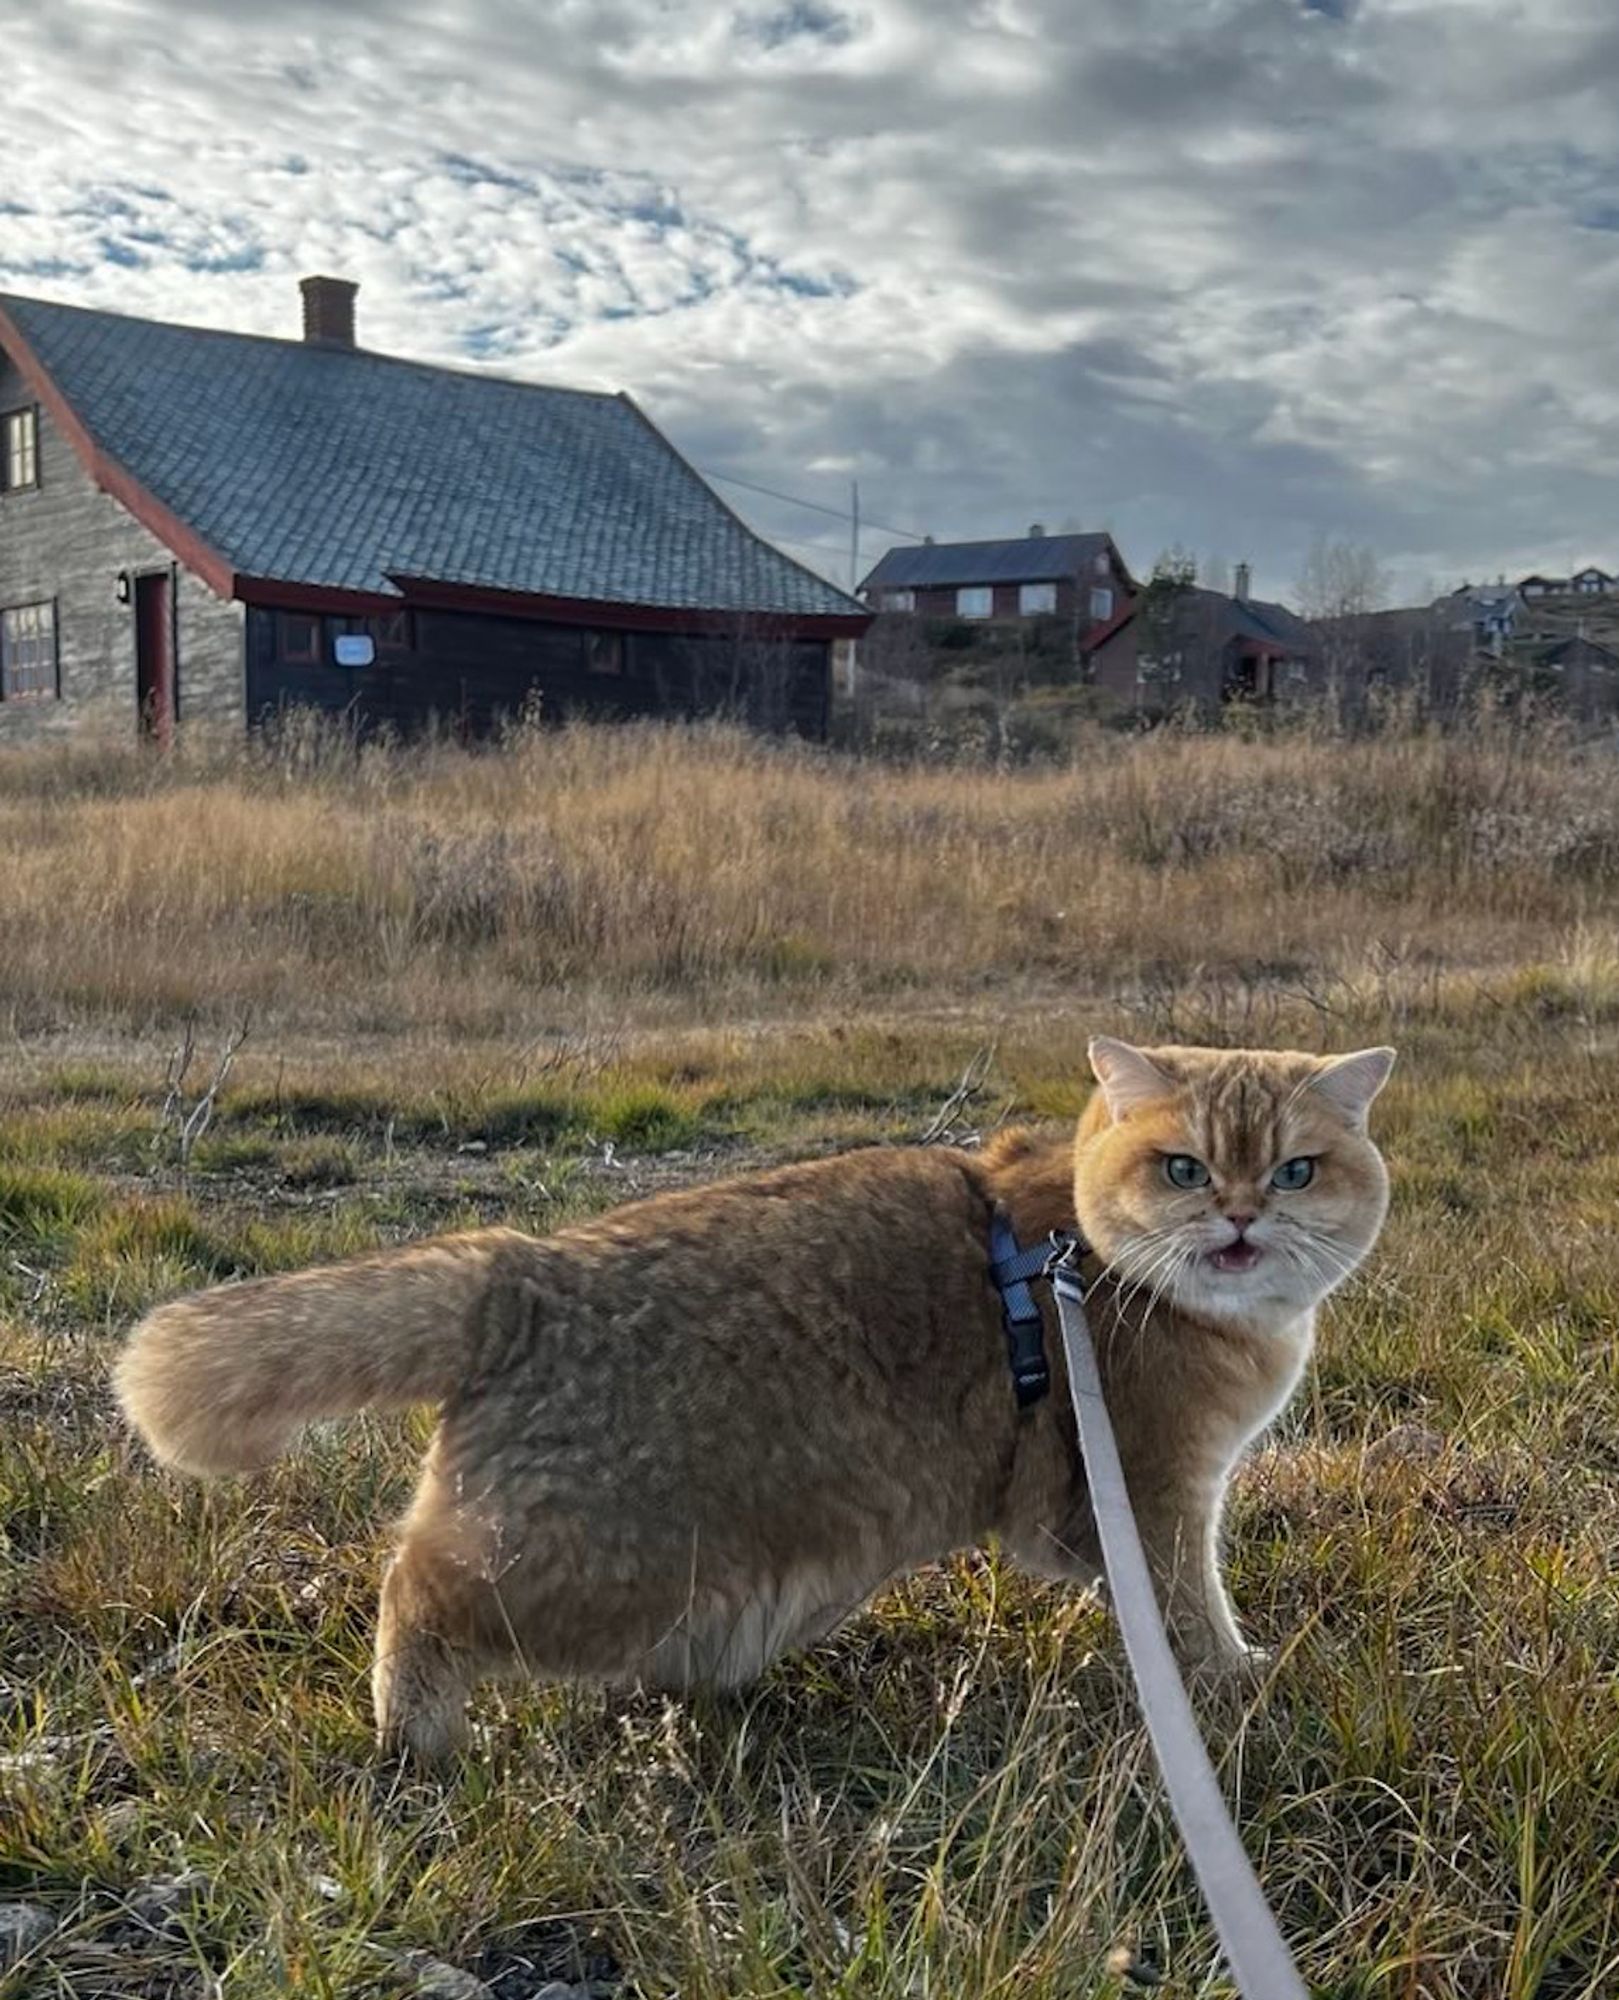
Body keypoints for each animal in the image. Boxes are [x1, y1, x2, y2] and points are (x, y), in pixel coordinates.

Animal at [119, 1040, 1391, 1760]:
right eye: (1184, 1166)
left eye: (1294, 1168)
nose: (1239, 1215)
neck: (1086, 1264)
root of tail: (516, 1274)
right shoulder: (1151, 1489)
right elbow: (1186, 1604)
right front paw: (1230, 1680)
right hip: (588, 1565)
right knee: (416, 1587)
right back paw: (411, 1738)